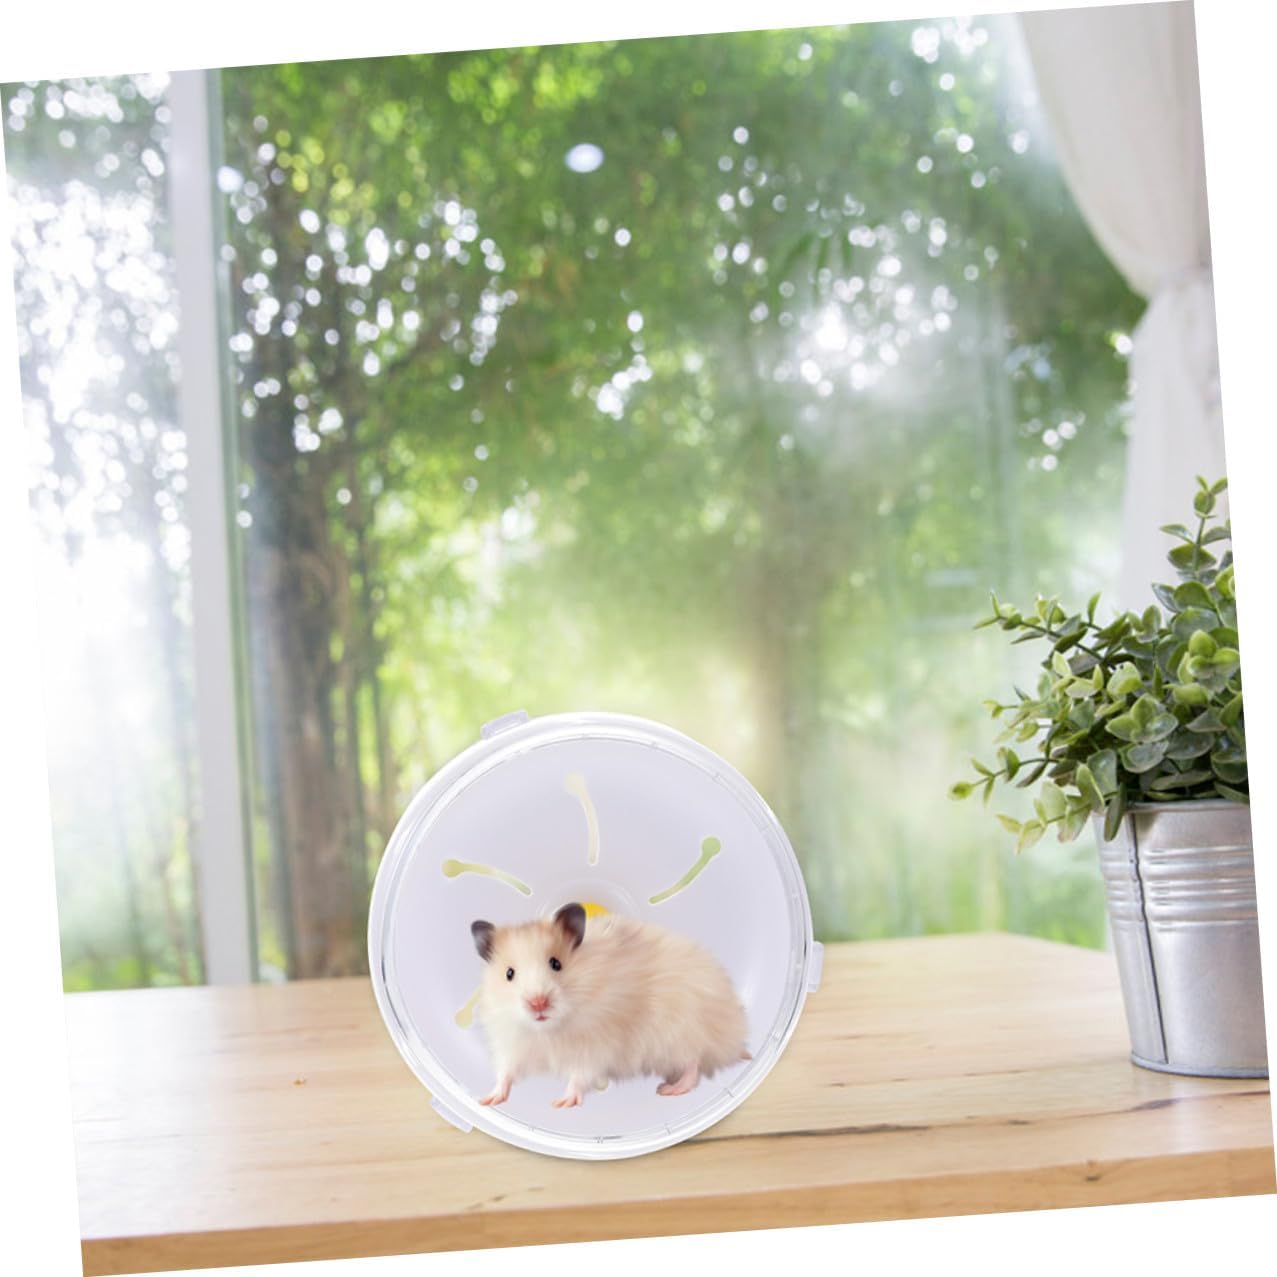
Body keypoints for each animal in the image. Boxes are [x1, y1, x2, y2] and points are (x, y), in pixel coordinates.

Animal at [470, 902, 751, 1109]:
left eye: (556, 963)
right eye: (509, 973)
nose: (538, 1003)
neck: (548, 1030)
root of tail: (735, 1037)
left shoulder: (595, 1045)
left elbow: (579, 1075)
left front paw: (561, 1103)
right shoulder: (512, 1043)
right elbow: (505, 1073)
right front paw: (487, 1100)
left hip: (682, 1030)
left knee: (694, 1062)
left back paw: (669, 1089)